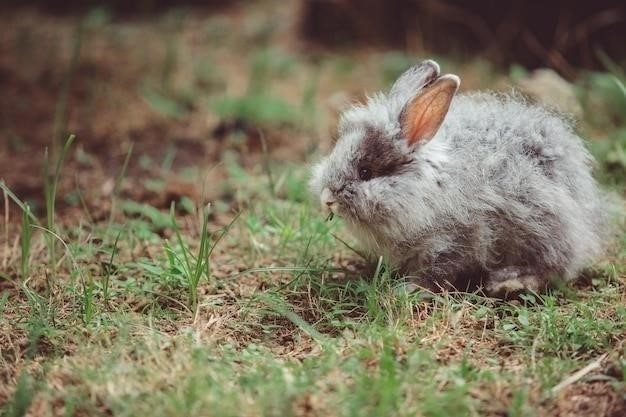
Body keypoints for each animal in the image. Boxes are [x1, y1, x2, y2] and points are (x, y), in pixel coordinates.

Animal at [310, 60, 608, 298]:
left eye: (365, 172)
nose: (326, 199)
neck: (425, 190)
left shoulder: (453, 241)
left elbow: (436, 273)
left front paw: (409, 290)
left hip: (548, 231)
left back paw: (510, 283)